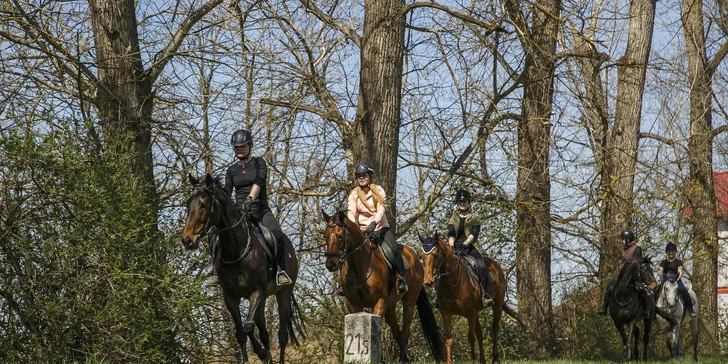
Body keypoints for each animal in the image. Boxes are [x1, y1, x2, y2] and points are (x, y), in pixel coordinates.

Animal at [183, 175, 306, 362]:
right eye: (188, 204)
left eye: (203, 204)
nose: (187, 240)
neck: (237, 250)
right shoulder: (231, 297)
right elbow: (240, 332)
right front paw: (254, 357)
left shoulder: (257, 291)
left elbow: (248, 327)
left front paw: (261, 353)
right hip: (262, 301)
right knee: (264, 333)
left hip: (283, 293)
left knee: (282, 334)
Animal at [322, 209, 446, 362]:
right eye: (325, 235)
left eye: (340, 236)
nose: (330, 265)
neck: (358, 266)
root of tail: (414, 257)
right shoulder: (353, 303)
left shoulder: (380, 301)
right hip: (390, 307)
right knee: (397, 333)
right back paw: (405, 359)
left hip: (409, 302)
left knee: (405, 332)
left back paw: (401, 361)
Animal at [418, 232, 520, 362]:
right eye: (422, 256)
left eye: (435, 255)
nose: (428, 281)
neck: (453, 281)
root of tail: (495, 266)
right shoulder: (446, 312)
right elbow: (449, 339)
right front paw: (450, 361)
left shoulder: (470, 312)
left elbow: (471, 336)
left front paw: (472, 359)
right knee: (480, 333)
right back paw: (482, 360)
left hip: (497, 305)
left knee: (495, 329)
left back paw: (495, 358)